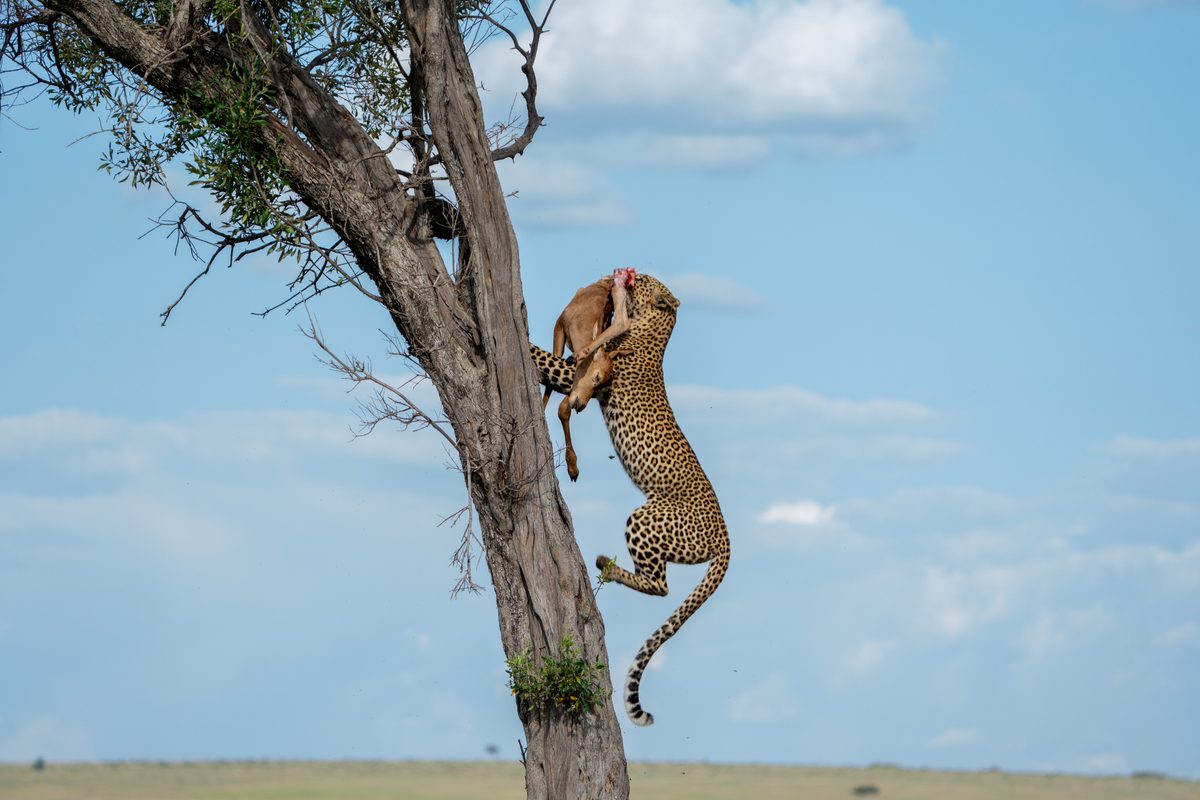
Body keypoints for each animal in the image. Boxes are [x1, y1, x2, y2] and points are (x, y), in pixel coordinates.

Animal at [530, 274, 731, 726]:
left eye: (644, 281)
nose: (623, 274)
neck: (654, 328)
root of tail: (728, 540)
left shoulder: (580, 372)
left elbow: (539, 356)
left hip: (646, 518)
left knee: (660, 586)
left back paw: (606, 564)